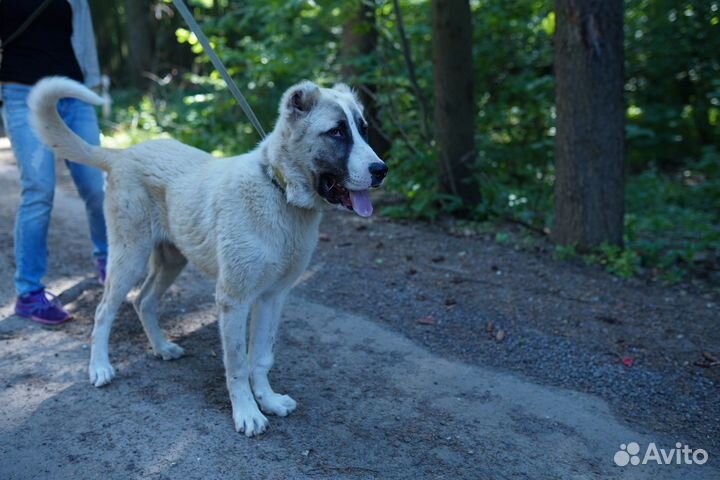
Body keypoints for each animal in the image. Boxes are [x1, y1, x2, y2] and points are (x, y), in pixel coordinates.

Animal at [28, 77, 388, 436]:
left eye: (363, 129)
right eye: (337, 132)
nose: (381, 170)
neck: (278, 192)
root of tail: (123, 153)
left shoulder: (273, 297)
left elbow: (261, 358)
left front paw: (268, 401)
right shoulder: (233, 300)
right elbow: (238, 364)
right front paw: (247, 413)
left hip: (172, 260)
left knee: (143, 300)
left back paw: (161, 348)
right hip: (129, 256)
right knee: (104, 312)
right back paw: (100, 367)